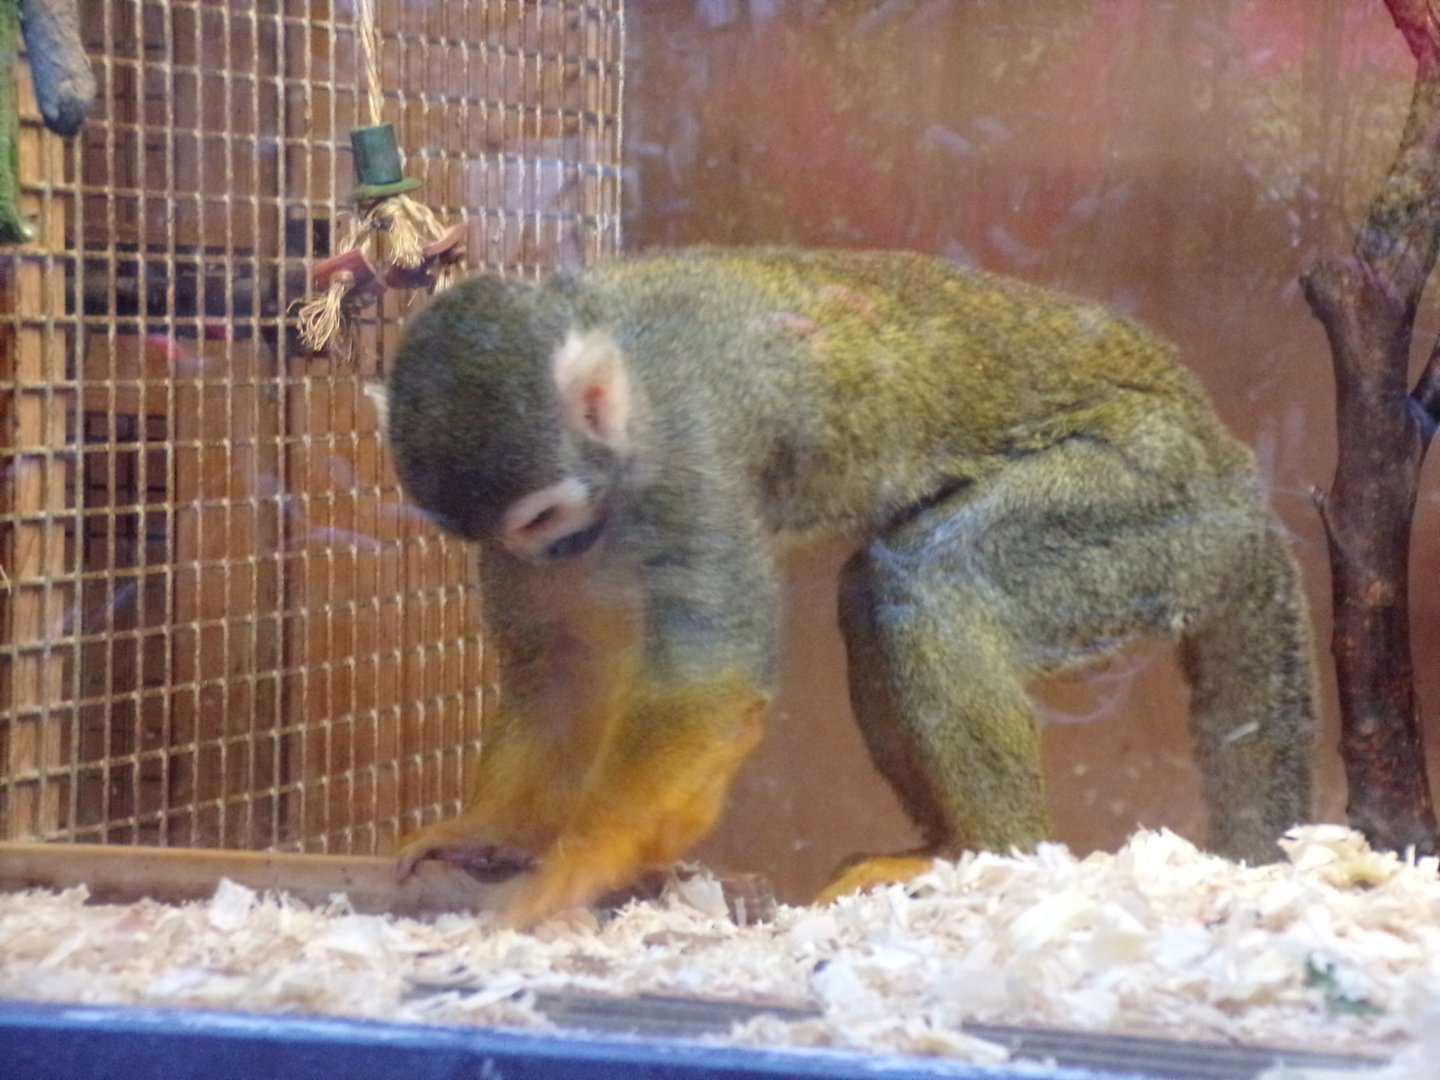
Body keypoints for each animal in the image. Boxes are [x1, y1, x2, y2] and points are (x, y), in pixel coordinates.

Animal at [383, 246, 1315, 927]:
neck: (628, 409)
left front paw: (584, 861)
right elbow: (563, 665)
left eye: (546, 515)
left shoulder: (687, 463)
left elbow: (710, 682)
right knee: (881, 590)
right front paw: (490, 833)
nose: (559, 550)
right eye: (515, 532)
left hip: (1156, 506)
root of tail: (1235, 469)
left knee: (929, 578)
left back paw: (987, 854)